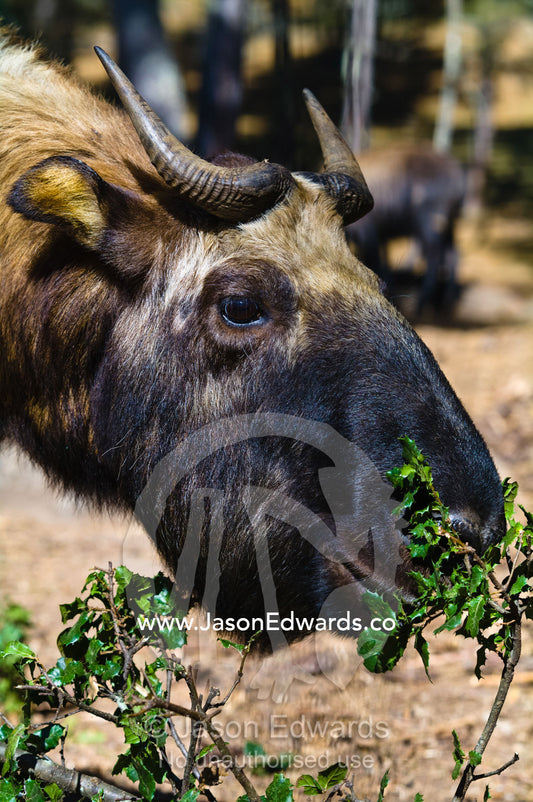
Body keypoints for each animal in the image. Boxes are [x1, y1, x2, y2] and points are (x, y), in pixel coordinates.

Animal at [345, 144, 465, 314]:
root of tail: (456, 172)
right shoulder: (382, 236)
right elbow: (385, 262)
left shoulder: (369, 233)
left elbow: (374, 261)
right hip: (449, 225)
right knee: (453, 253)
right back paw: (448, 299)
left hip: (429, 223)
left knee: (433, 256)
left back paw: (422, 302)